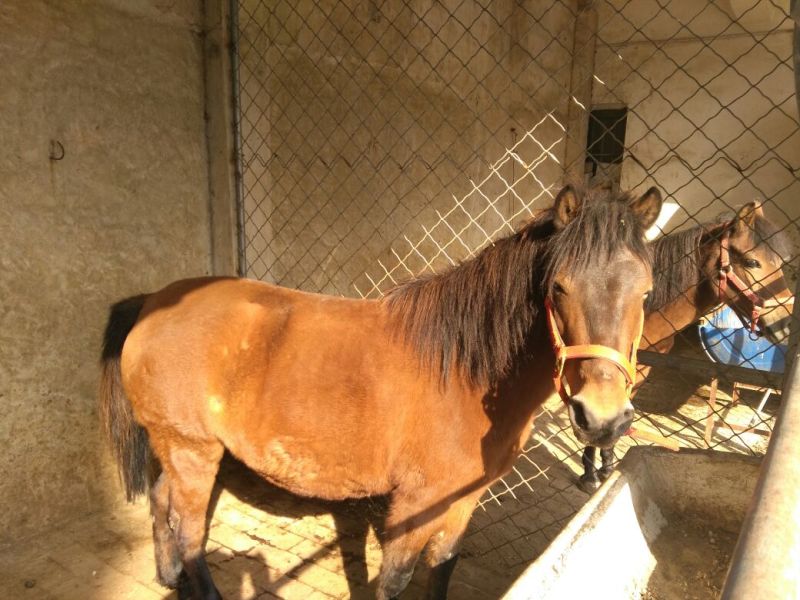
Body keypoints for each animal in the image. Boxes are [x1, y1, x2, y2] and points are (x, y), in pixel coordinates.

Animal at [99, 184, 662, 600]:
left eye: (646, 291)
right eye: (559, 287)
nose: (603, 418)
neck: (466, 371)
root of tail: (152, 302)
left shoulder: (461, 501)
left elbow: (443, 568)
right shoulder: (414, 503)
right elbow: (394, 581)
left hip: (176, 449)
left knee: (163, 504)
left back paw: (169, 578)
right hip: (193, 450)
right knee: (191, 533)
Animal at [578, 201, 794, 492]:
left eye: (781, 264)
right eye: (752, 262)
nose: (787, 323)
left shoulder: (640, 373)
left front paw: (607, 468)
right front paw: (590, 476)